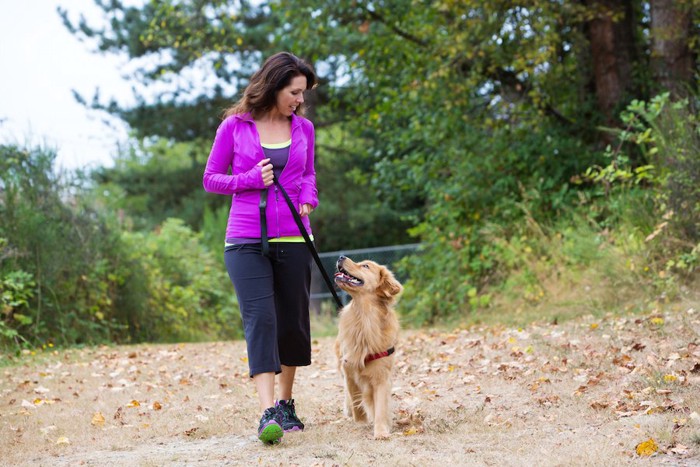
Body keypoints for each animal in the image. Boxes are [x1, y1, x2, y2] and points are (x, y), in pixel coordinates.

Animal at [334, 254, 404, 440]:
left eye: (365, 266)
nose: (341, 256)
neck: (364, 318)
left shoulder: (381, 375)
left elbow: (380, 406)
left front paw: (381, 431)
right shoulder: (349, 367)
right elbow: (355, 396)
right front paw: (360, 419)